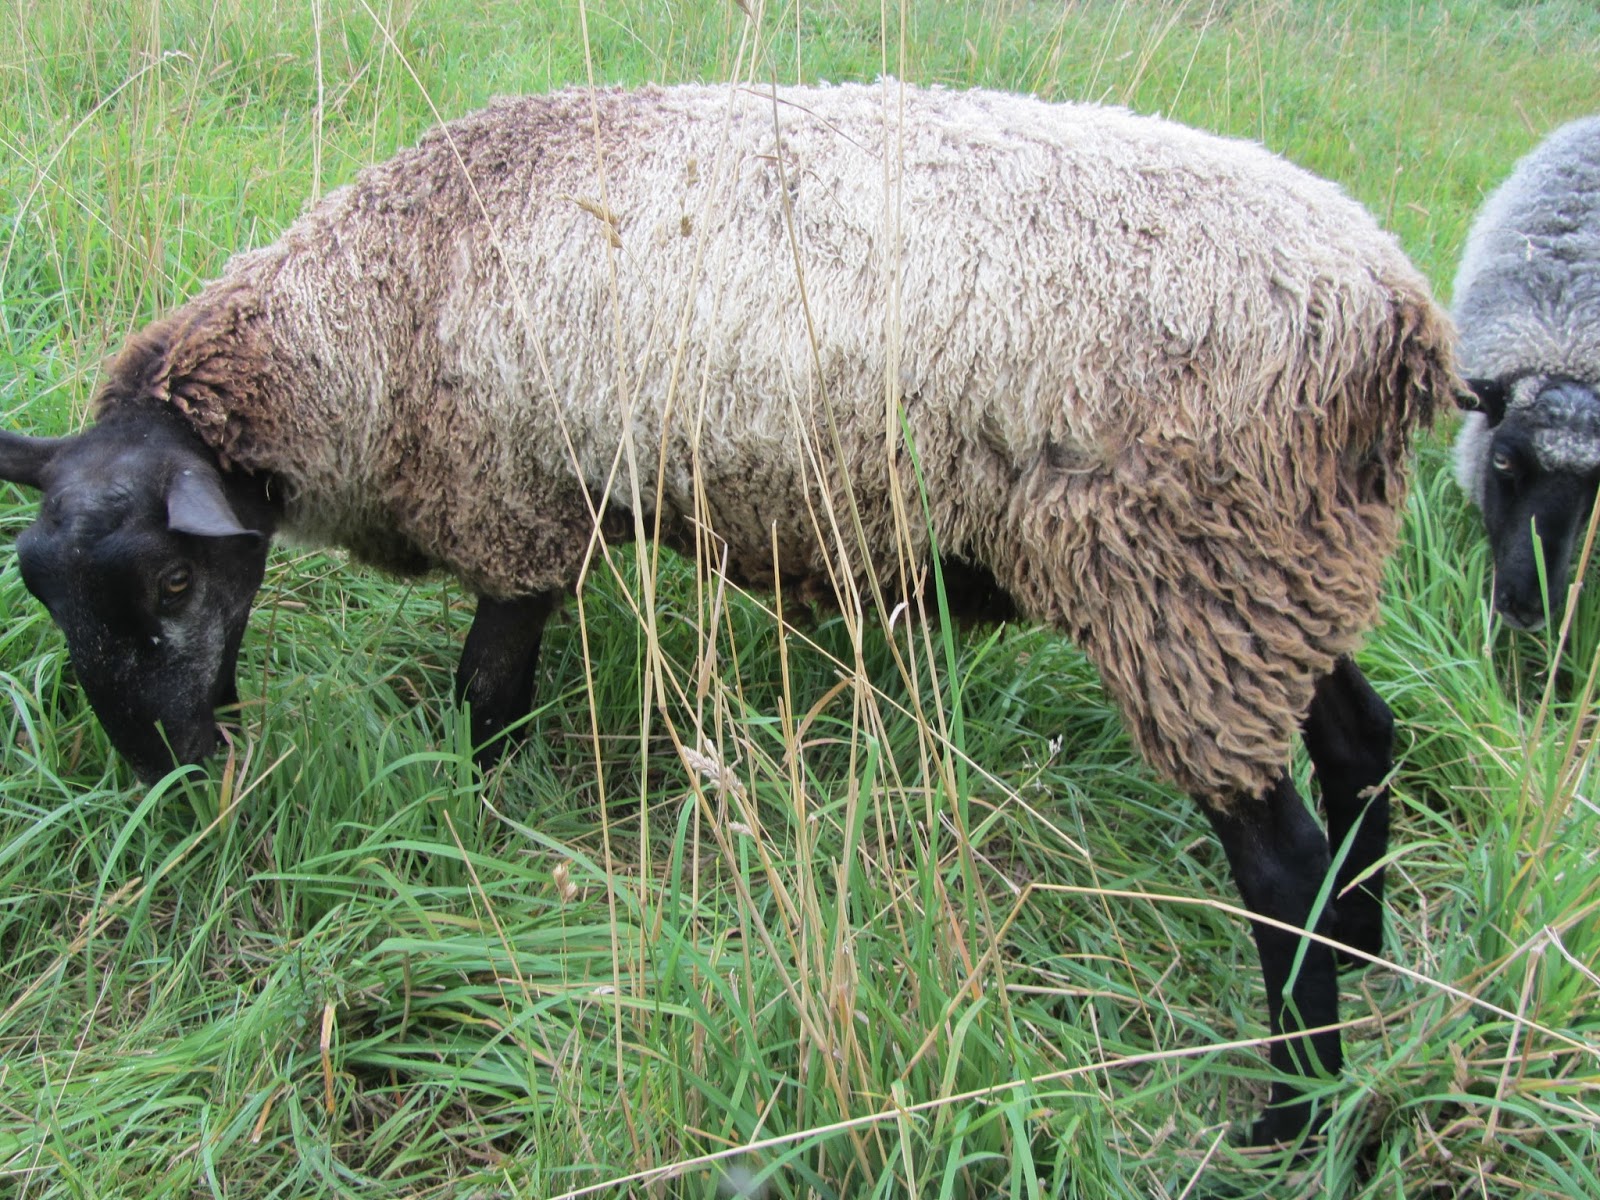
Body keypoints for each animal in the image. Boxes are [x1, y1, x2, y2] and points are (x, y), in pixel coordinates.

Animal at [0, 80, 1457, 1144]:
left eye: (173, 581)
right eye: (41, 592)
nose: (166, 779)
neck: (372, 317)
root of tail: (1393, 314)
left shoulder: (516, 506)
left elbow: (486, 697)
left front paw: (477, 848)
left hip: (1178, 575)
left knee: (1275, 860)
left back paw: (1290, 1111)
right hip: (1274, 570)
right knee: (1362, 743)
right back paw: (1370, 952)